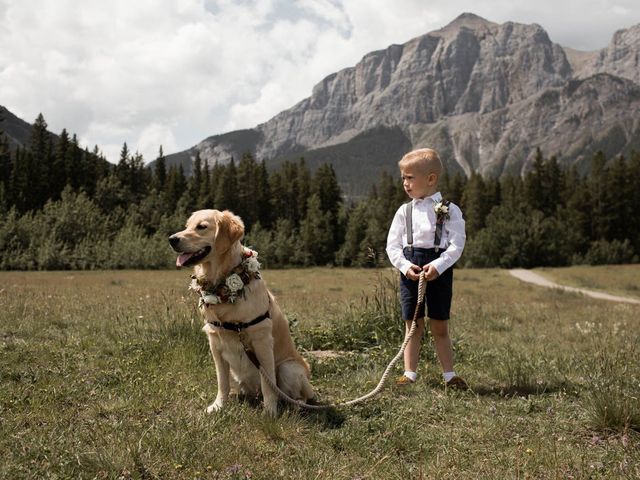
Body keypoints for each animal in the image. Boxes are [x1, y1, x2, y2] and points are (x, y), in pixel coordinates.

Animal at [168, 210, 312, 416]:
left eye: (201, 227)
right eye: (187, 226)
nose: (172, 239)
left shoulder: (262, 342)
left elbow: (268, 384)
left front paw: (269, 412)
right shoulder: (215, 343)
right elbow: (222, 382)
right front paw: (218, 405)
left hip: (289, 367)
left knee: (298, 395)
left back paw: (296, 404)